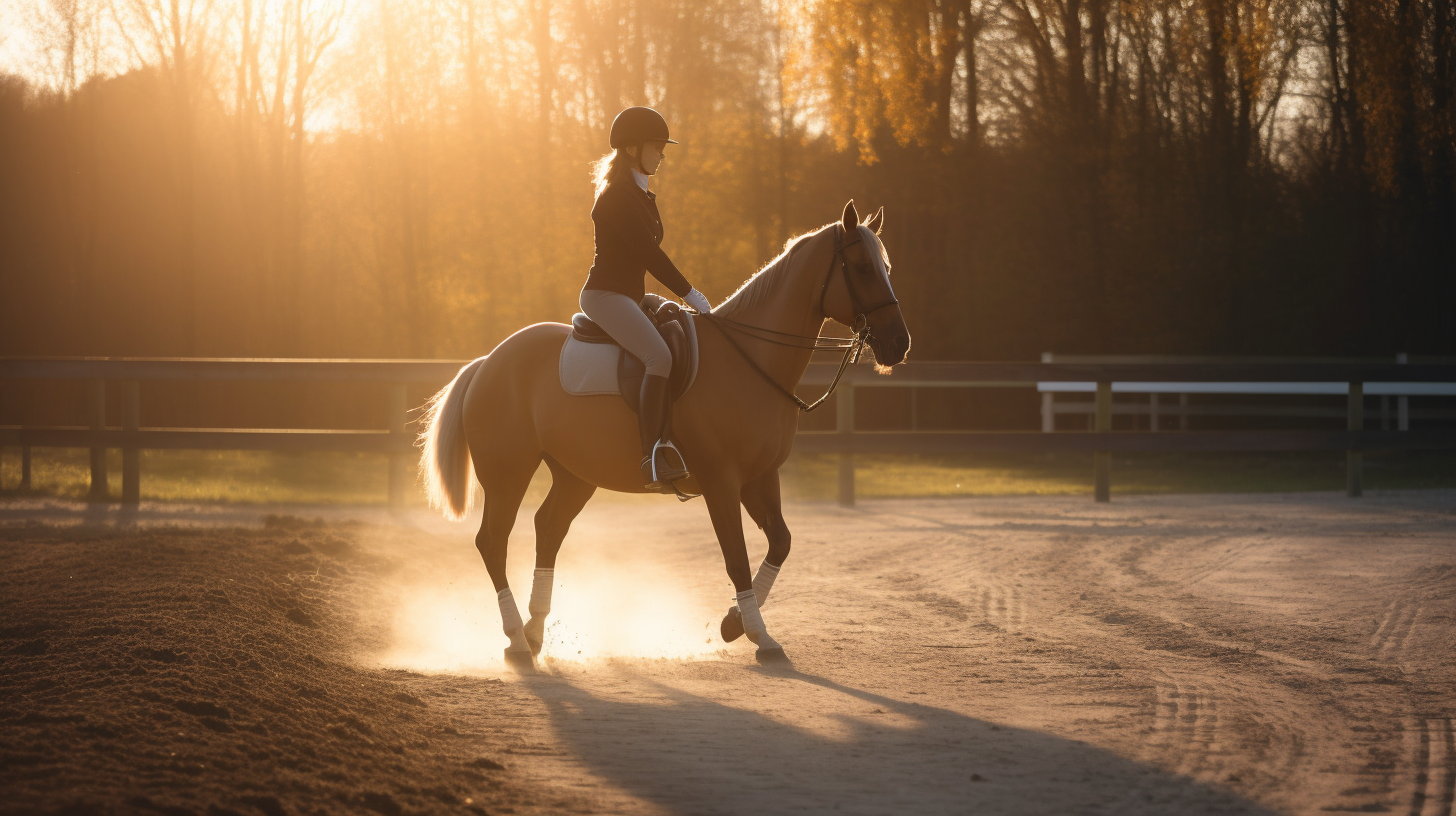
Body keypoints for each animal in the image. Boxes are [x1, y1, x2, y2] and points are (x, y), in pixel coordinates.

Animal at [413, 201, 908, 667]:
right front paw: (759, 636)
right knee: (493, 542)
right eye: (862, 267)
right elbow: (737, 557)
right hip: (508, 474)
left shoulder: (760, 478)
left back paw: (535, 632)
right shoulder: (722, 481)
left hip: (575, 475)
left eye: (886, 267)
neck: (749, 359)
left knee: (548, 528)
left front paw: (734, 624)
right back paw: (517, 638)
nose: (898, 344)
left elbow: (780, 543)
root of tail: (489, 361)